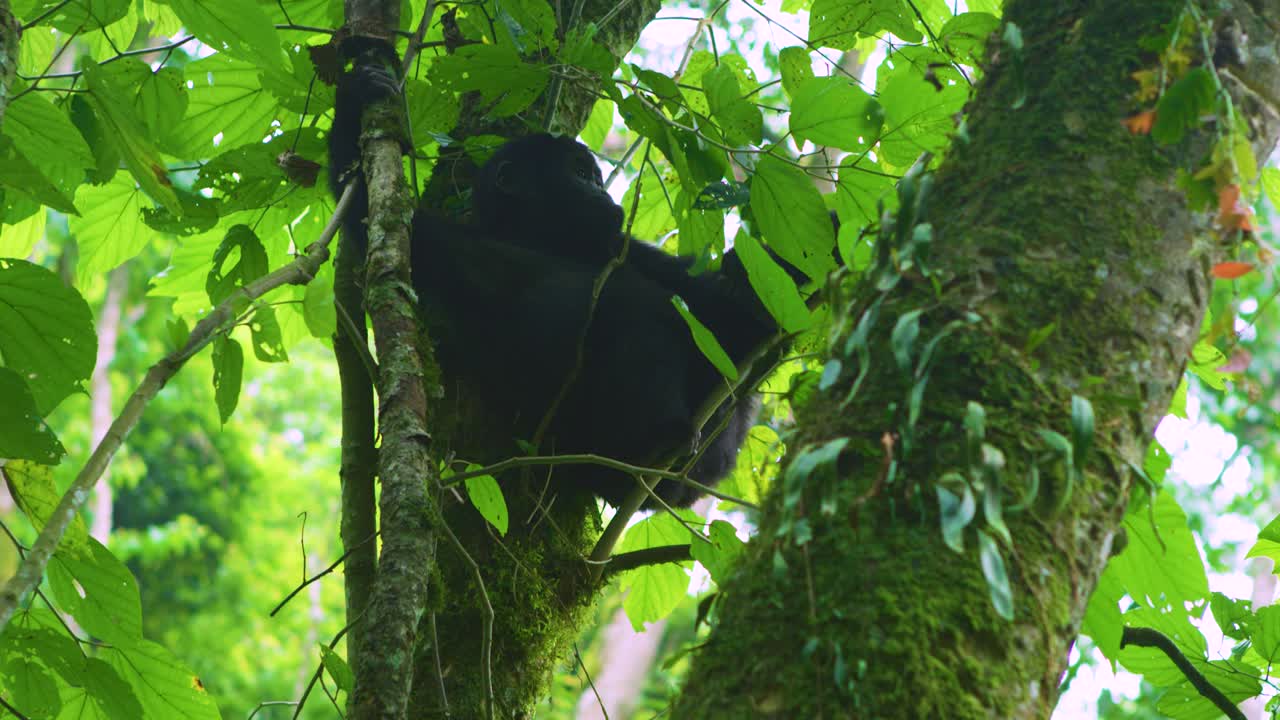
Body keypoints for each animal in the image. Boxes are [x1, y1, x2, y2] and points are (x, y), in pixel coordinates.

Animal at [329, 62, 801, 508]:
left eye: (594, 176)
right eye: (579, 173)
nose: (603, 192)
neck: (543, 237)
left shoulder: (626, 248)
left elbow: (727, 322)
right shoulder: (461, 241)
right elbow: (378, 218)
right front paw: (352, 107)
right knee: (624, 307)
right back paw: (656, 438)